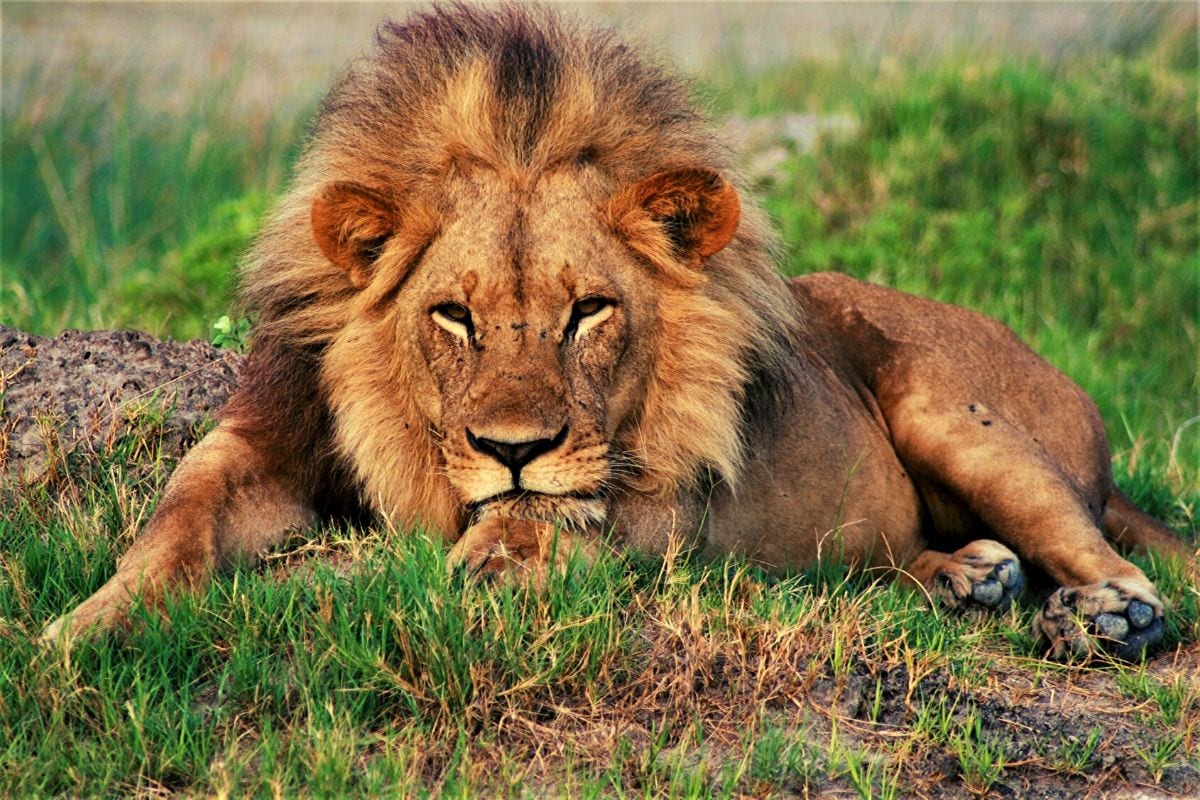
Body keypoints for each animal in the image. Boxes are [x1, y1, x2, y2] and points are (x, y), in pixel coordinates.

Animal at [39, 4, 1190, 662]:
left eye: (589, 310)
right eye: (451, 314)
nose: (512, 451)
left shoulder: (658, 488)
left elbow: (543, 524)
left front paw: (480, 556)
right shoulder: (261, 438)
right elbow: (172, 528)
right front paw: (75, 635)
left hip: (957, 411)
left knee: (1118, 560)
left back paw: (1099, 619)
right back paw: (967, 578)